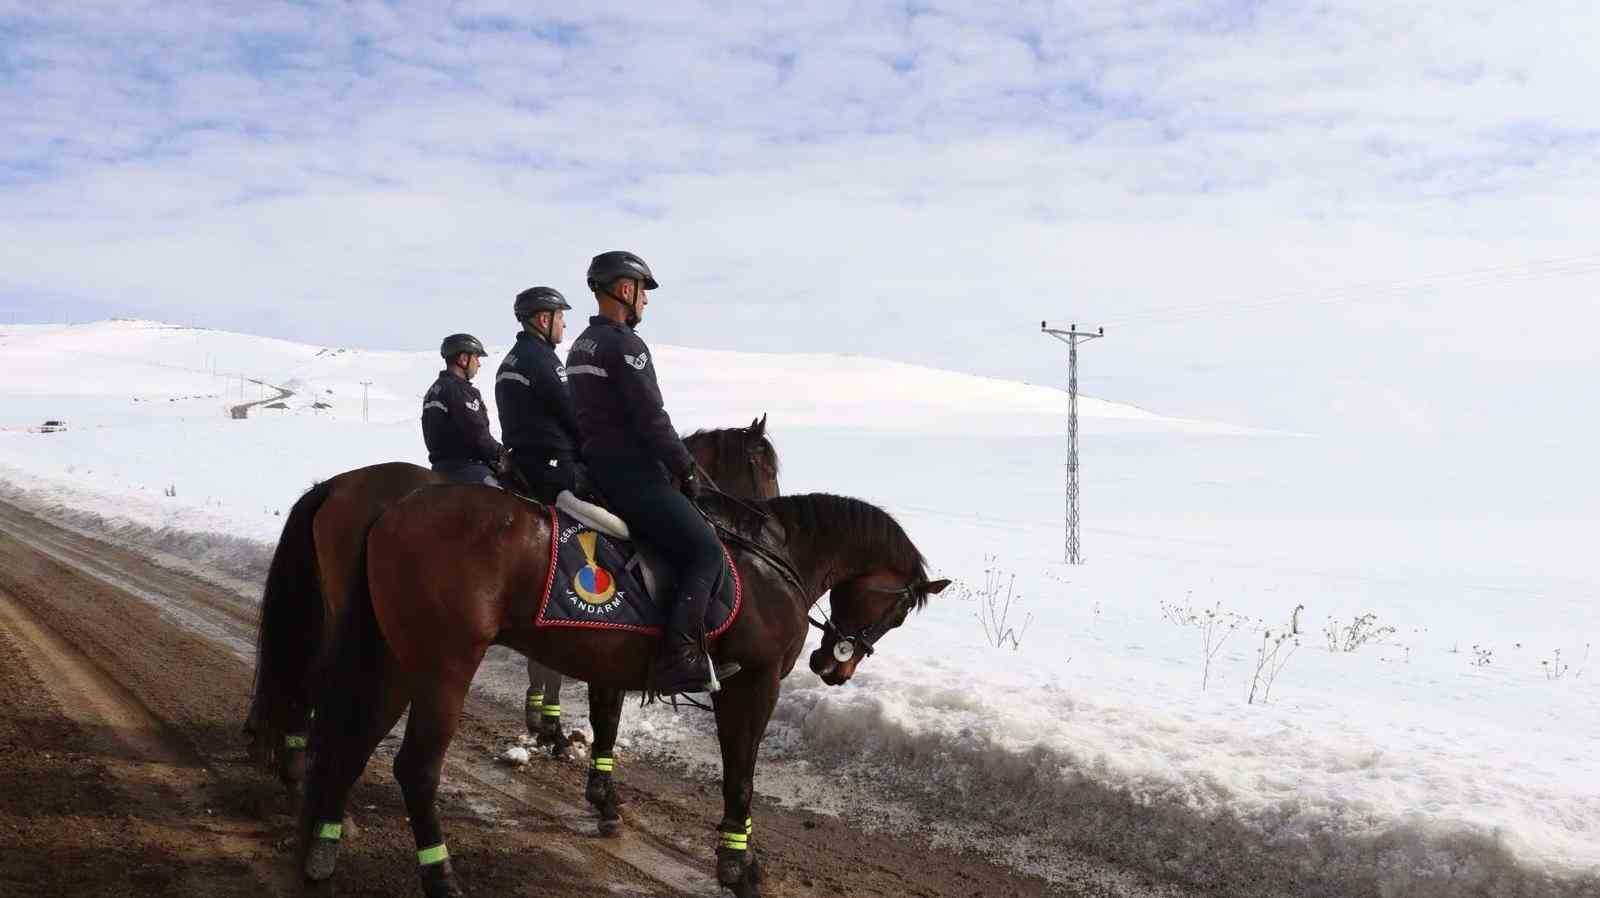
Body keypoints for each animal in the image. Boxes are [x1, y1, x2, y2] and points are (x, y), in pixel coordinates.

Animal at [241, 419, 780, 784]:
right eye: (765, 465)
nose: (763, 518)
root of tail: (337, 485)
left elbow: (549, 672)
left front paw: (546, 726)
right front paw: (549, 729)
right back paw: (296, 761)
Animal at [304, 489, 940, 896]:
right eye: (899, 613)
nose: (835, 667)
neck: (769, 563)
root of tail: (390, 512)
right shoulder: (751, 685)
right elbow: (740, 775)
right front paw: (739, 866)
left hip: (397, 662)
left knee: (353, 739)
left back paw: (324, 846)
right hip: (443, 669)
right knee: (415, 768)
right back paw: (439, 876)